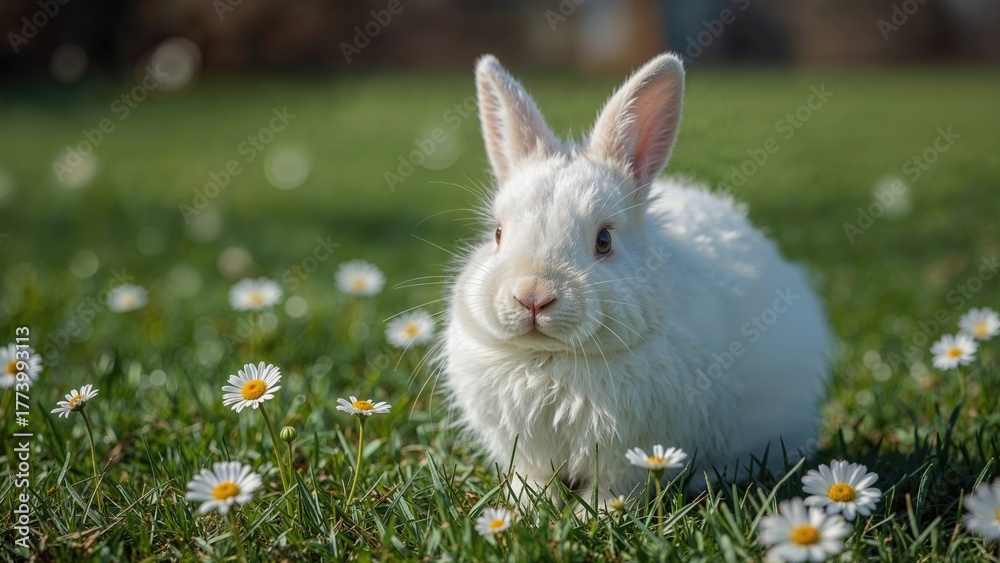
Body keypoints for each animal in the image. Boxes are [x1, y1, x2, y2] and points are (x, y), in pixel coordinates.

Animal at [439, 52, 831, 510]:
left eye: (604, 240)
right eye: (498, 234)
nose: (533, 297)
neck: (550, 360)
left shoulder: (631, 453)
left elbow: (615, 488)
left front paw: (594, 515)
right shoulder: (526, 449)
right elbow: (534, 477)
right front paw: (525, 508)